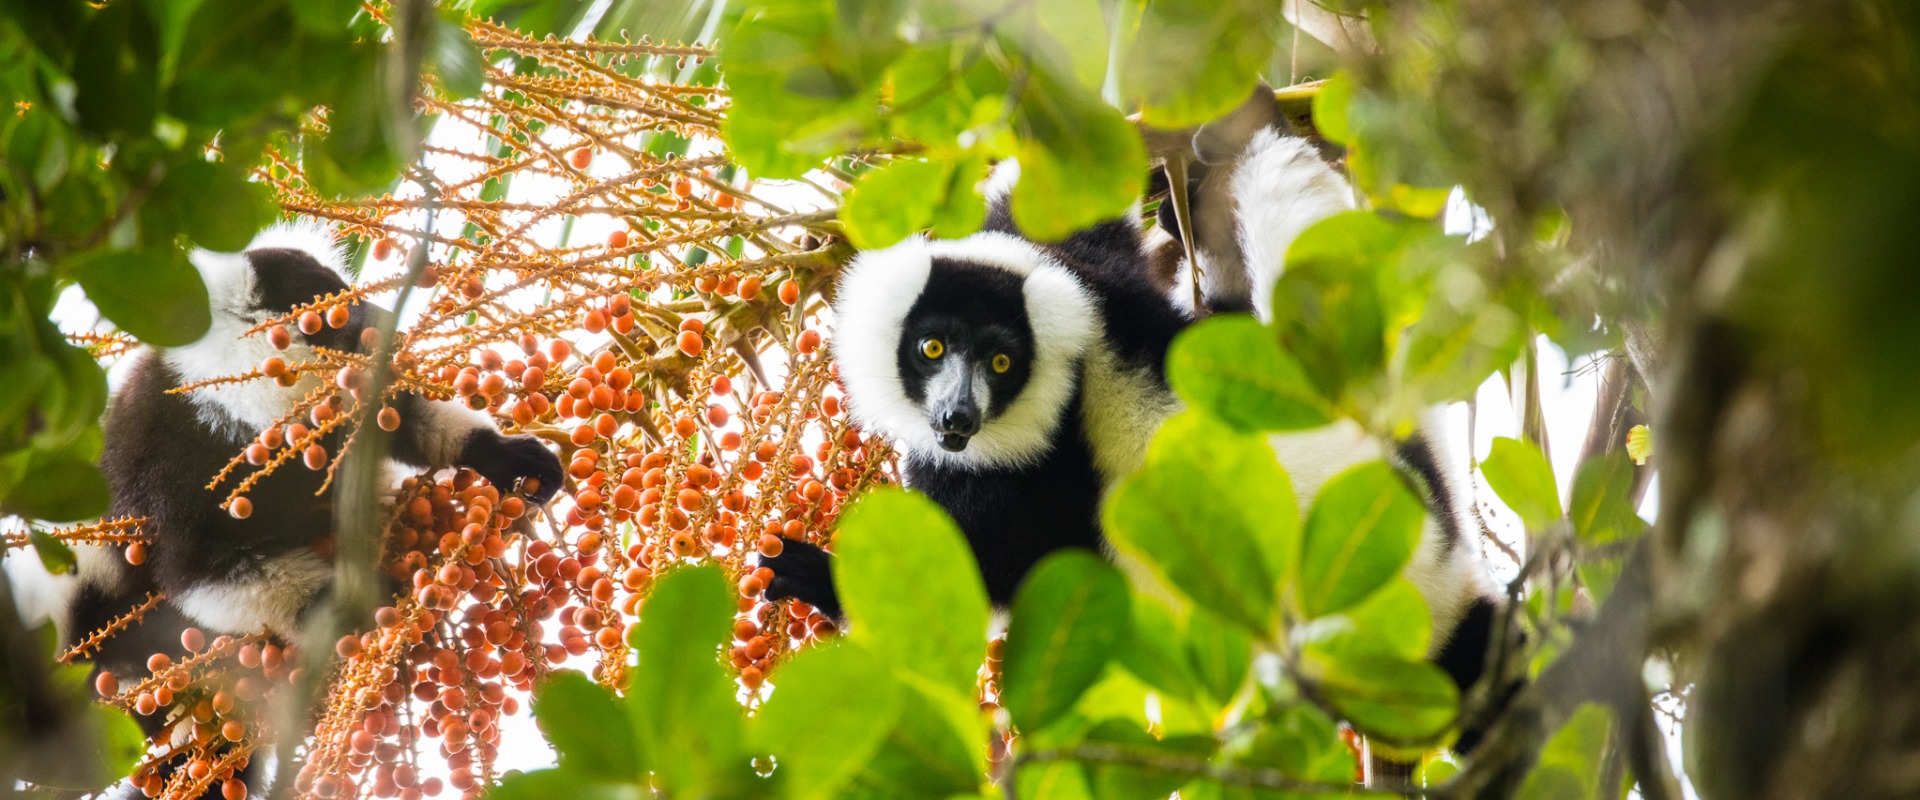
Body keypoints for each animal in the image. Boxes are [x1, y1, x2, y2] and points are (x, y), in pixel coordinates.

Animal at [61, 223, 562, 732]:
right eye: (326, 313)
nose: (389, 325)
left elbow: (398, 419)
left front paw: (504, 456)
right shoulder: (173, 476)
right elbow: (207, 568)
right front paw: (360, 603)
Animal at [765, 90, 1509, 749]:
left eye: (1001, 363)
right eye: (932, 348)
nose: (958, 416)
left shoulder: (1035, 478)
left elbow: (971, 578)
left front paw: (817, 578)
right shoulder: (1084, 265)